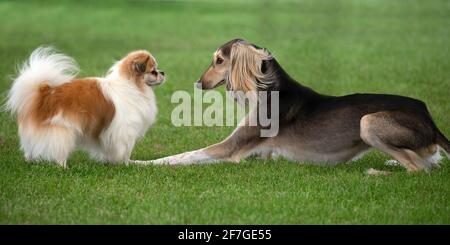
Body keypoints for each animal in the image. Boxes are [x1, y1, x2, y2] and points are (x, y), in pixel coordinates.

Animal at [5, 47, 165, 167]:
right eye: (153, 71)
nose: (163, 72)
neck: (132, 86)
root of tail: (45, 94)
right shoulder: (125, 131)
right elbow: (125, 150)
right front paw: (125, 163)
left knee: (30, 149)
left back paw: (31, 161)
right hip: (64, 130)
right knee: (59, 152)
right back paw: (63, 167)